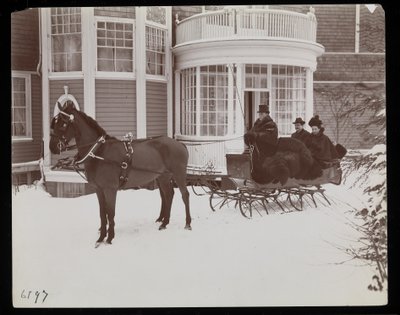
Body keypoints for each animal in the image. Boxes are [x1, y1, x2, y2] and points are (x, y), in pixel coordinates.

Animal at [48, 101, 192, 247]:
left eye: (63, 124)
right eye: (54, 122)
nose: (52, 147)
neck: (98, 152)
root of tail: (180, 144)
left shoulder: (110, 189)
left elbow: (110, 213)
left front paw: (110, 238)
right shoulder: (98, 190)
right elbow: (102, 214)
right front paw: (101, 238)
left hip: (179, 173)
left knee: (184, 195)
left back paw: (187, 223)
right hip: (163, 176)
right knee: (168, 195)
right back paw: (164, 222)